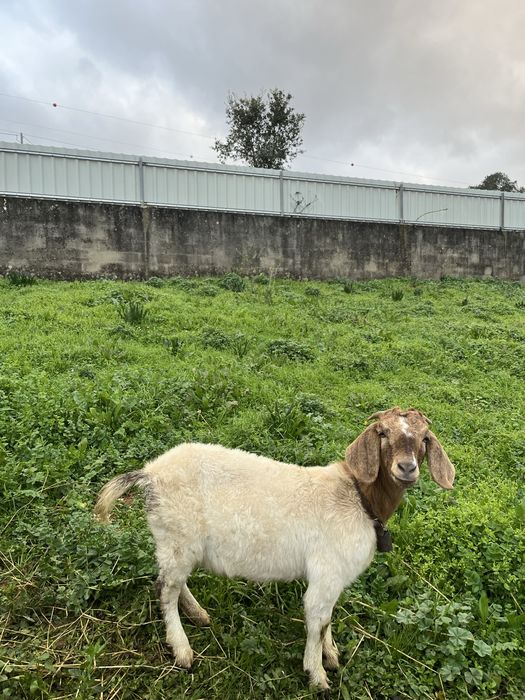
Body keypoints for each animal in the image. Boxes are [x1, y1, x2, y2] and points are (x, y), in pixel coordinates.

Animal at [94, 407, 455, 693]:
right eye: (382, 433)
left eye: (425, 439)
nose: (406, 468)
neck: (358, 499)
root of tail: (149, 473)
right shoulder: (327, 572)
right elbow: (316, 619)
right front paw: (318, 676)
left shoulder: (333, 578)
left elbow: (326, 619)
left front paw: (331, 654)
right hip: (177, 534)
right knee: (165, 589)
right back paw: (182, 650)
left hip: (177, 542)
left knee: (173, 582)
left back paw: (198, 615)